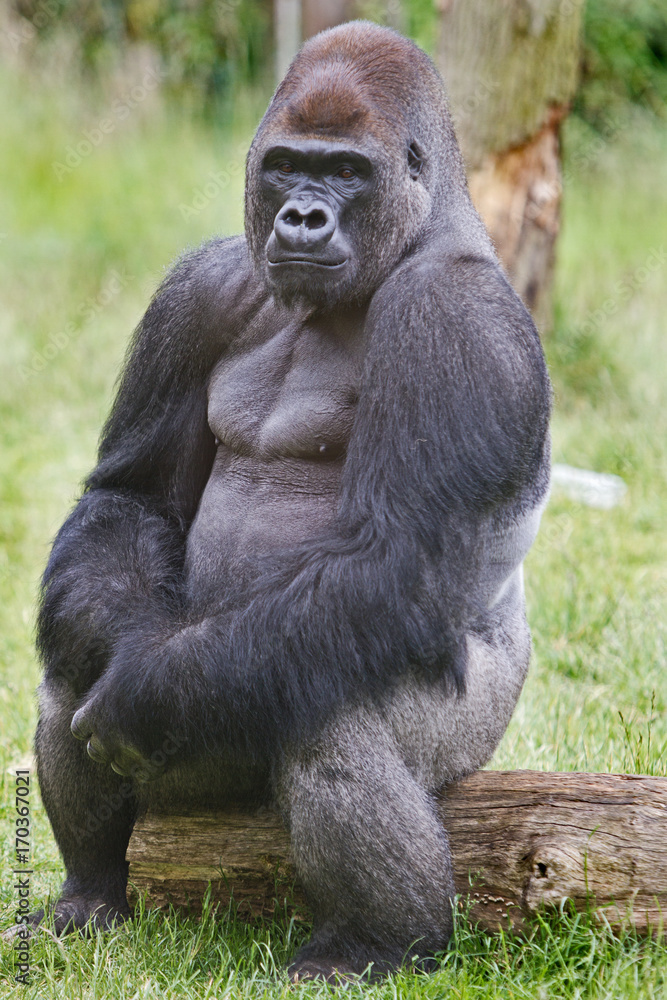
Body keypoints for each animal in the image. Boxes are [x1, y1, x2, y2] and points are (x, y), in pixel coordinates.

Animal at [34, 19, 552, 980]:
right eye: (285, 164)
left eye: (346, 171)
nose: (303, 215)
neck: (420, 230)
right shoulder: (198, 284)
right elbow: (132, 500)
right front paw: (121, 649)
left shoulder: (451, 320)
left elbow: (392, 558)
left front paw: (146, 690)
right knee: (71, 661)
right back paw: (93, 889)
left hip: (472, 735)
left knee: (328, 718)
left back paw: (382, 941)